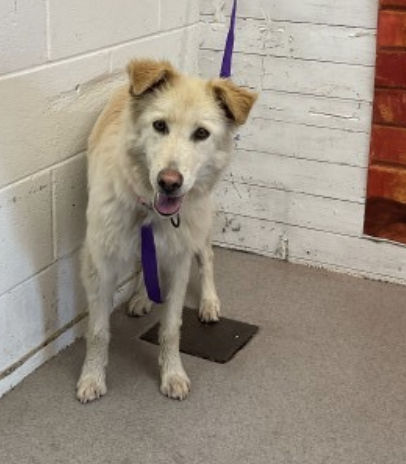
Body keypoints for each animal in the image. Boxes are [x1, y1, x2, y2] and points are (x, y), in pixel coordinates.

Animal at [77, 59, 257, 402]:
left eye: (201, 133)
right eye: (159, 126)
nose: (169, 182)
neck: (149, 208)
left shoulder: (179, 260)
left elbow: (171, 329)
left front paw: (172, 374)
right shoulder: (101, 263)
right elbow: (97, 330)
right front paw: (92, 377)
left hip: (199, 229)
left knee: (208, 258)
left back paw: (209, 302)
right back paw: (142, 296)